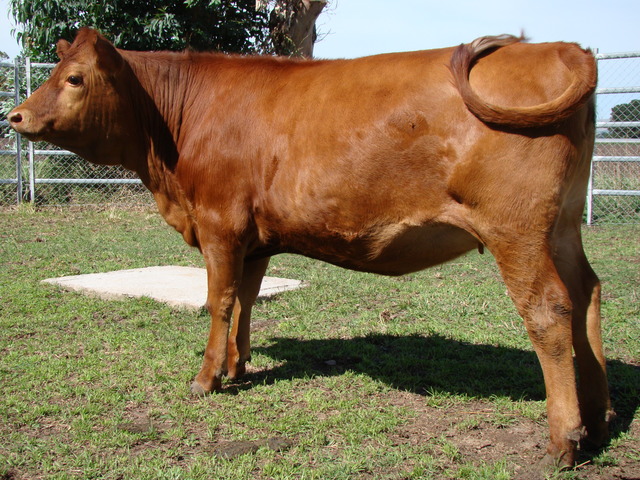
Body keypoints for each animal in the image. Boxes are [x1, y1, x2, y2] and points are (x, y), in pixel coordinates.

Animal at [8, 28, 612, 467]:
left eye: (75, 79)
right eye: (55, 73)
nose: (15, 116)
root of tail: (560, 46)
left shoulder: (220, 225)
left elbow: (218, 301)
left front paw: (207, 379)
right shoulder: (254, 240)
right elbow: (246, 300)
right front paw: (239, 366)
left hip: (517, 230)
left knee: (549, 310)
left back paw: (563, 440)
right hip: (561, 226)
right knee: (588, 294)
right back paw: (599, 416)